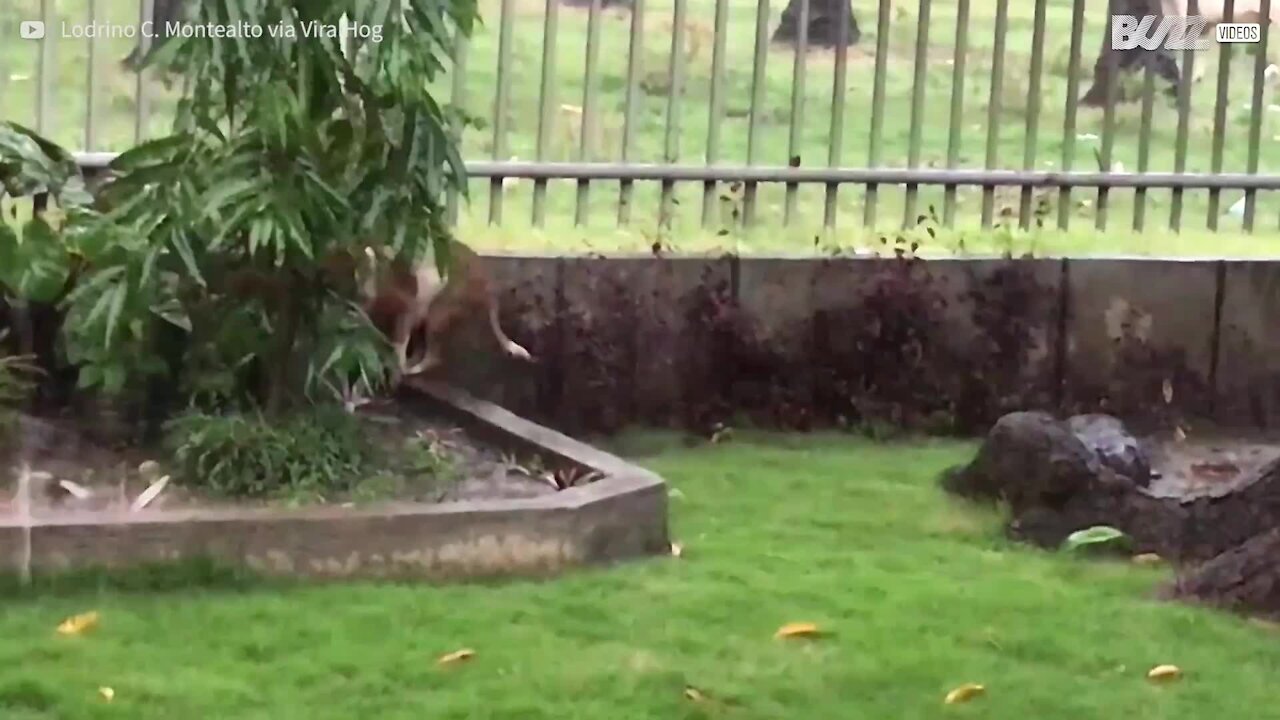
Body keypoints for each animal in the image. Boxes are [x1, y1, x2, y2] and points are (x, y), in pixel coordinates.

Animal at [360, 239, 529, 379]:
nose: (365, 292)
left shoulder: (410, 304)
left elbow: (401, 335)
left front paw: (396, 361)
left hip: (447, 301)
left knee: (433, 348)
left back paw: (414, 366)